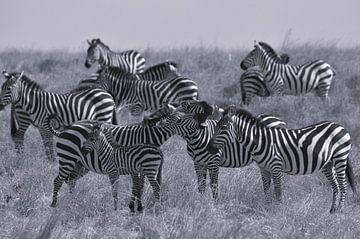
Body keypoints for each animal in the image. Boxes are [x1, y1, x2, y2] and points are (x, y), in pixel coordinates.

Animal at [207, 106, 356, 213]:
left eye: (223, 128)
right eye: (216, 127)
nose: (208, 148)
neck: (262, 142)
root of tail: (339, 125)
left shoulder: (276, 166)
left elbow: (278, 191)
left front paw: (278, 211)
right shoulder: (263, 168)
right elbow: (266, 189)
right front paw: (267, 209)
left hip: (340, 157)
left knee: (343, 186)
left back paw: (340, 210)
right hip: (328, 164)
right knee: (335, 186)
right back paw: (332, 210)